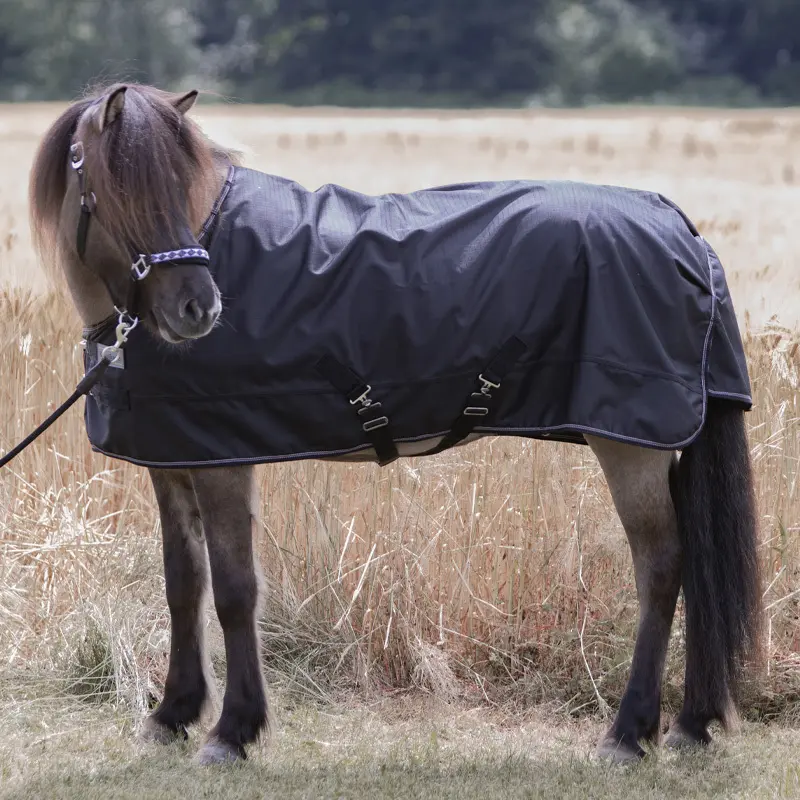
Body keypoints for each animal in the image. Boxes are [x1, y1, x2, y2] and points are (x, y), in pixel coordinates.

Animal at [27, 82, 762, 766]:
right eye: (121, 185)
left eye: (181, 182)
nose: (198, 308)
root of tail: (681, 229)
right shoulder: (175, 461)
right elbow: (184, 585)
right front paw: (173, 713)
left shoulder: (224, 464)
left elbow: (235, 591)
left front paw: (232, 731)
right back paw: (690, 725)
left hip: (629, 446)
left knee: (662, 566)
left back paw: (628, 733)